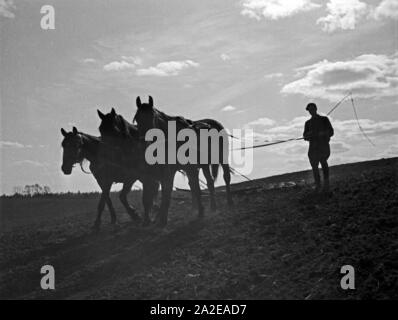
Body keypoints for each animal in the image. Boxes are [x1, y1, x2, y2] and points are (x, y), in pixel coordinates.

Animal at [132, 96, 235, 226]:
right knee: (210, 182)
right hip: (204, 165)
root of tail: (215, 124)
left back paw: (229, 201)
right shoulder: (171, 170)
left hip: (222, 158)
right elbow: (171, 191)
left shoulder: (182, 169)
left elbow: (185, 190)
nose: (144, 141)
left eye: (152, 116)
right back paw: (213, 206)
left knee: (226, 177)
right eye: (137, 118)